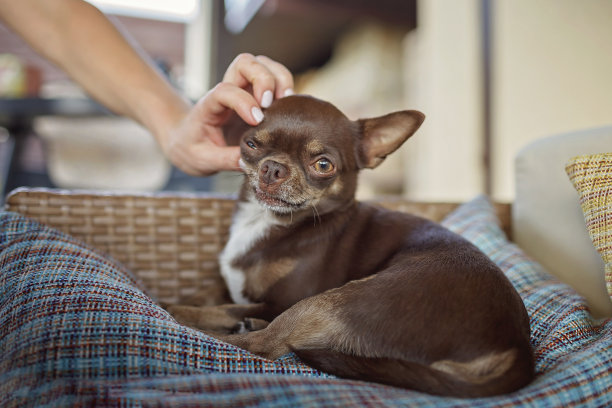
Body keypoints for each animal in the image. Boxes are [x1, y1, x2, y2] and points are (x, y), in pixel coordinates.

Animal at [169, 95, 536, 396]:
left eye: (323, 165)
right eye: (251, 143)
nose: (273, 167)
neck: (268, 221)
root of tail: (518, 349)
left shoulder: (284, 300)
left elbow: (221, 309)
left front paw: (174, 309)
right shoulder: (232, 284)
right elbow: (209, 294)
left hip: (330, 301)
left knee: (264, 344)